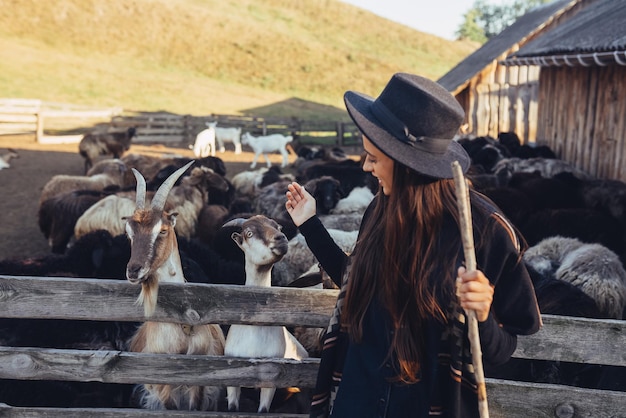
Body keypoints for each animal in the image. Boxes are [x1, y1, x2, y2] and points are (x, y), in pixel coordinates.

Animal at [124, 161, 224, 412]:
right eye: (129, 233)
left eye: (162, 230)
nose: (133, 270)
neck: (182, 324)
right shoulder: (162, 384)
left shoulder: (200, 381)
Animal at [222, 214, 308, 414]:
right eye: (249, 233)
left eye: (278, 227)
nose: (281, 239)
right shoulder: (232, 377)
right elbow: (232, 407)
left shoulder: (271, 380)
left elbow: (263, 411)